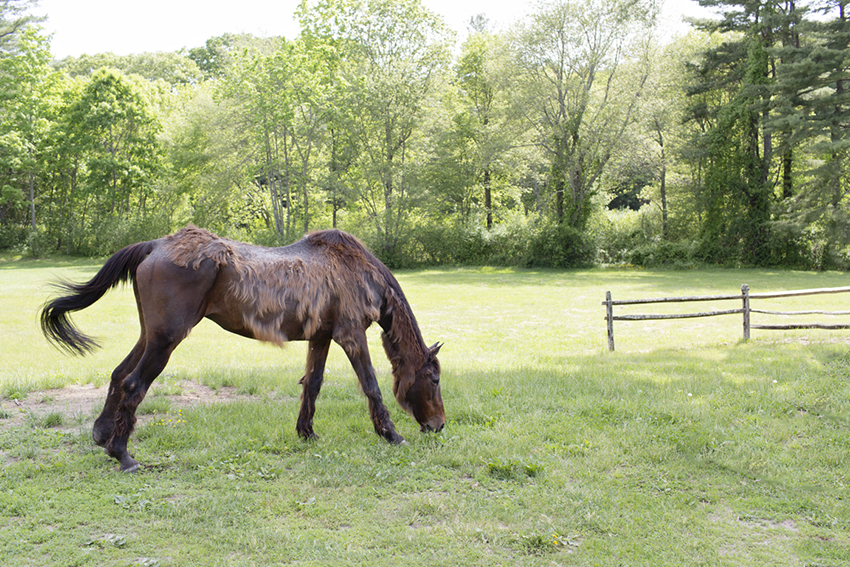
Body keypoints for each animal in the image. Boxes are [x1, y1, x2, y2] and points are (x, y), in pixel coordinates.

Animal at [41, 224, 444, 472]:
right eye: (435, 379)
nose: (438, 426)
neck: (355, 270)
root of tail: (156, 244)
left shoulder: (321, 337)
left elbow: (312, 384)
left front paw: (307, 433)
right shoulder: (351, 335)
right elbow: (372, 386)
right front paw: (391, 434)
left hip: (151, 335)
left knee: (119, 374)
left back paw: (102, 434)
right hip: (165, 340)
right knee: (134, 384)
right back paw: (122, 453)